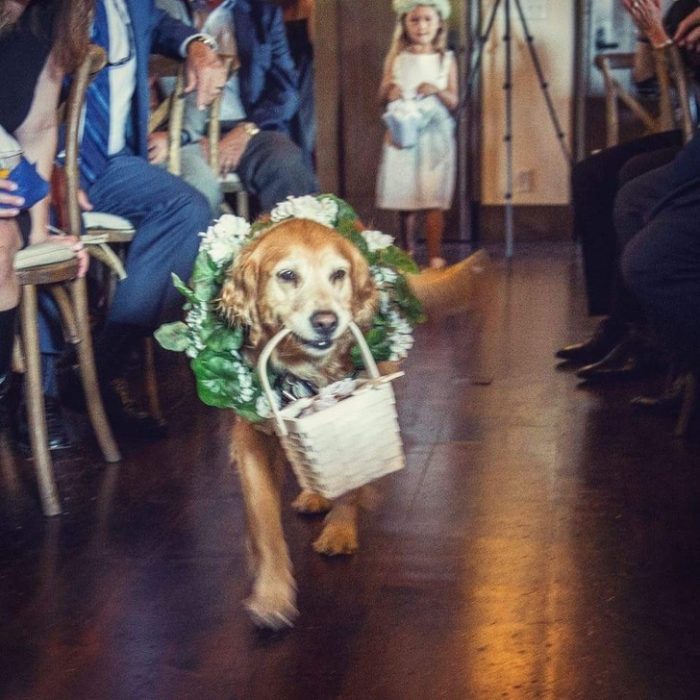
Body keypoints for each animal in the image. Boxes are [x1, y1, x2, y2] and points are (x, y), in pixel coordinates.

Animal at [221, 219, 380, 628]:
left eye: (338, 274)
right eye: (287, 275)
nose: (326, 322)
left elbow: (352, 479)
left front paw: (340, 531)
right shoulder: (251, 436)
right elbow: (264, 519)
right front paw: (272, 595)